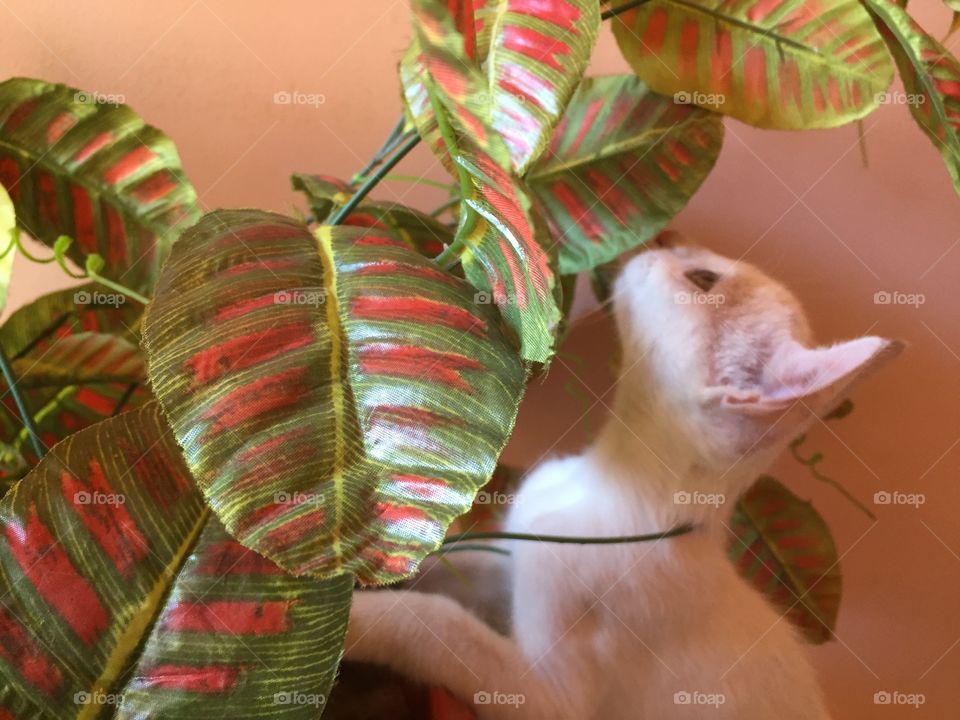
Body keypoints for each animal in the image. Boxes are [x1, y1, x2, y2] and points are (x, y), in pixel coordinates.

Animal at [344, 233, 900, 716]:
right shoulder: (512, 560)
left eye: (702, 277)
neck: (604, 480)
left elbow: (434, 621)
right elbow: (453, 562)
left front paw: (353, 625)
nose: (669, 239)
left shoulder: (552, 698)